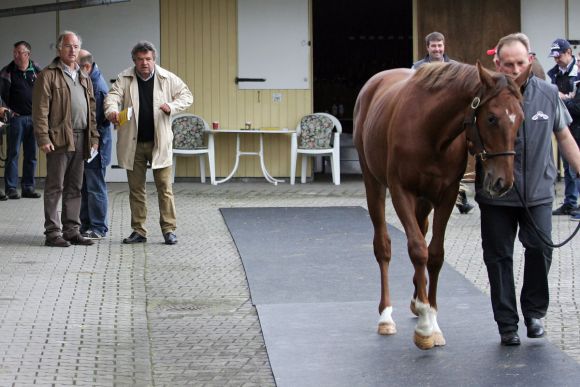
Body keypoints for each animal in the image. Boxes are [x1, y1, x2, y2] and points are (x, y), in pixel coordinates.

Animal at [352, 61, 528, 352]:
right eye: (491, 118)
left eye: (521, 119)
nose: (503, 182)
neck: (431, 131)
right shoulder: (401, 192)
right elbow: (417, 250)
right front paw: (424, 329)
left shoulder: (446, 195)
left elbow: (434, 254)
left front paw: (430, 318)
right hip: (373, 183)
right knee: (384, 246)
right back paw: (386, 316)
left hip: (424, 202)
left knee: (422, 231)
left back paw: (416, 299)